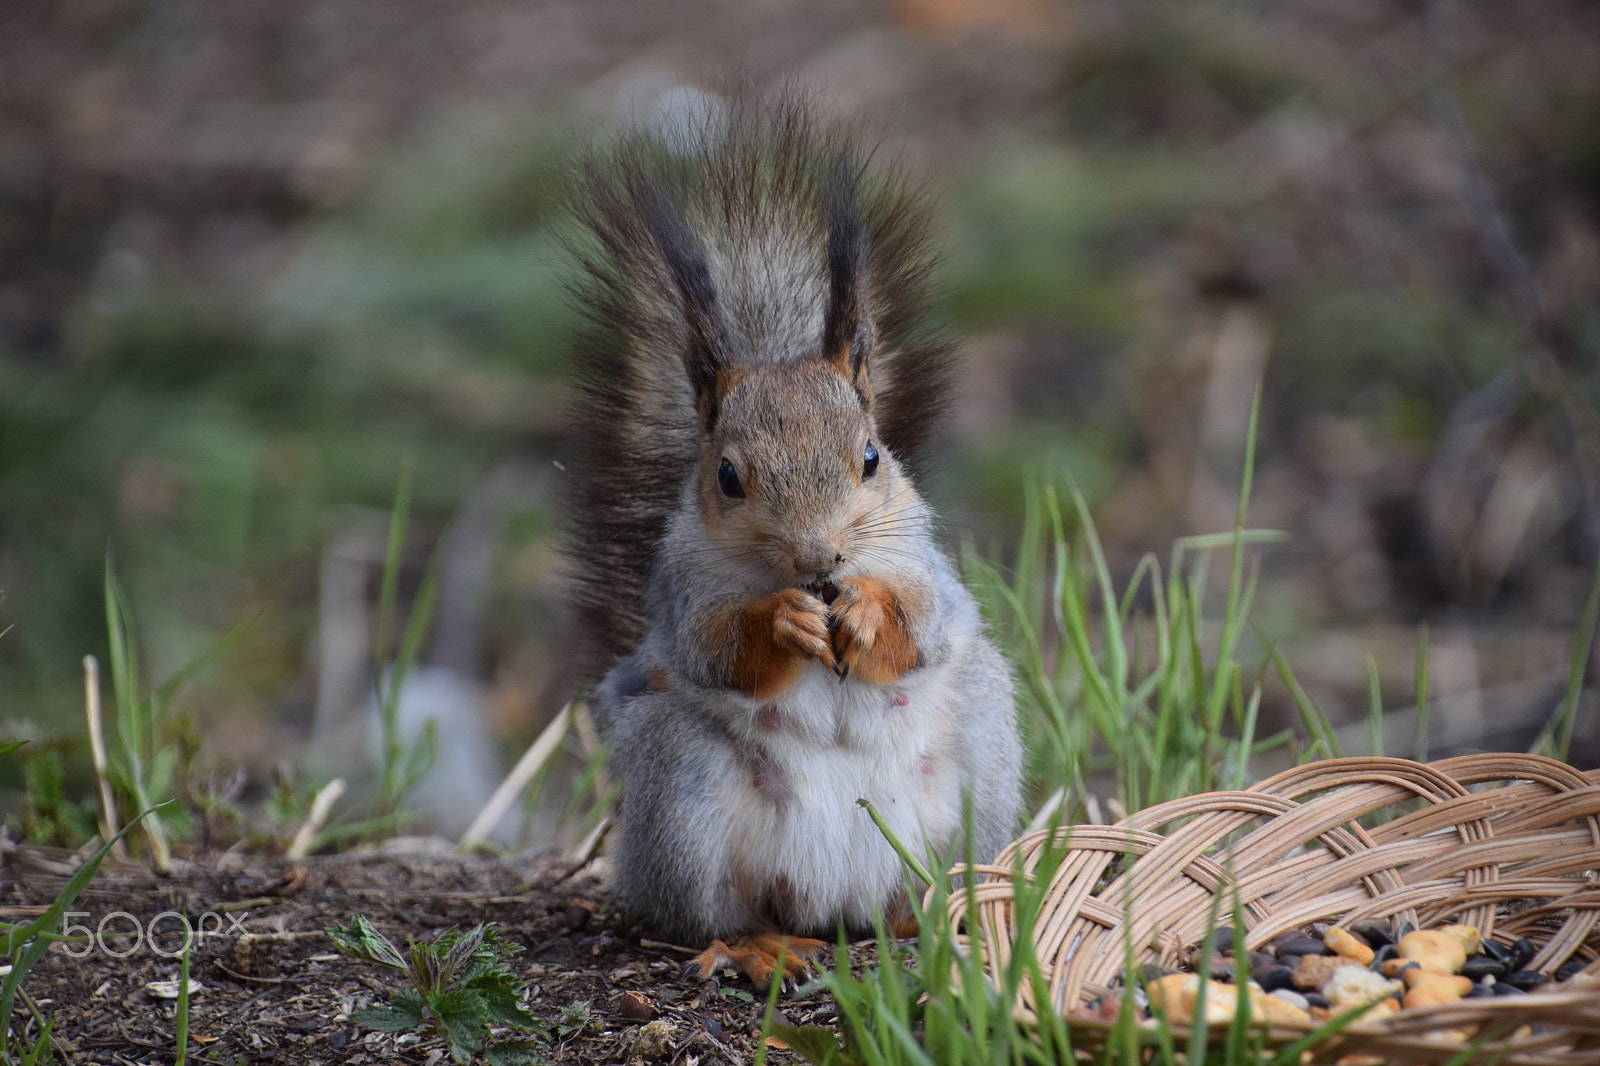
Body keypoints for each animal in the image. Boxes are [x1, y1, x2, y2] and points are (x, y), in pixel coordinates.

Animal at [562, 93, 1022, 986]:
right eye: (727, 477)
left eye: (872, 457)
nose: (819, 560)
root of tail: (836, 897)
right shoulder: (685, 596)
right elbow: (717, 650)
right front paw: (781, 621)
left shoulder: (926, 568)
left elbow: (921, 624)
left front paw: (869, 614)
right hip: (684, 787)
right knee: (702, 916)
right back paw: (760, 947)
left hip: (984, 755)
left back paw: (934, 918)